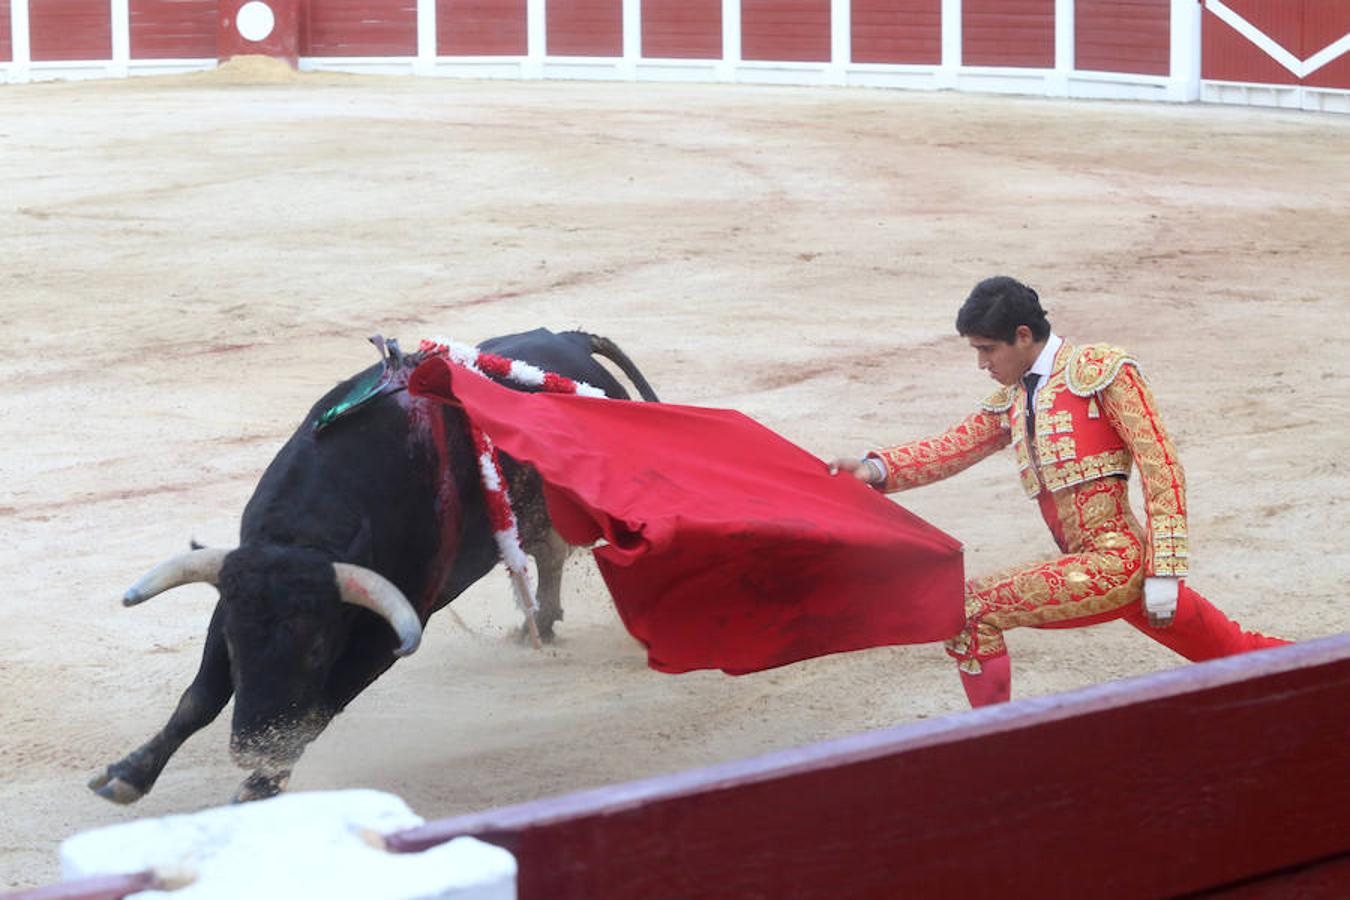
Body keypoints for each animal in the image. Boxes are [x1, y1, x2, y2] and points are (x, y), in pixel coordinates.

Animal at [89, 329, 658, 804]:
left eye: (317, 648)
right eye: (234, 640)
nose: (252, 746)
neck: (308, 534)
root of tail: (569, 339)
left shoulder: (385, 635)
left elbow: (315, 713)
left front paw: (260, 786)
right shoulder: (231, 599)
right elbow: (200, 698)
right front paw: (128, 774)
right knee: (548, 553)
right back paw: (537, 623)